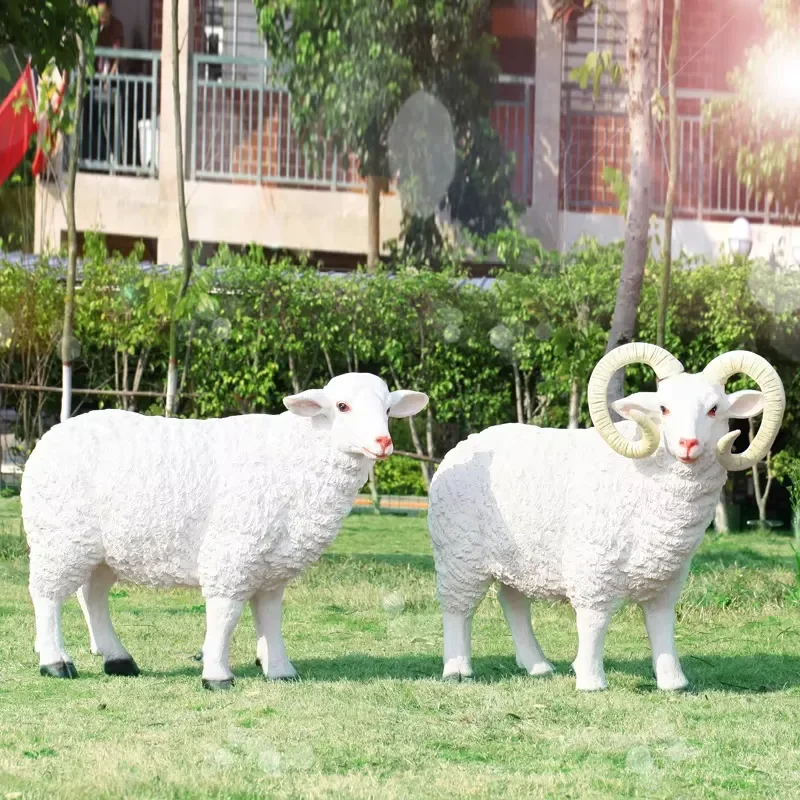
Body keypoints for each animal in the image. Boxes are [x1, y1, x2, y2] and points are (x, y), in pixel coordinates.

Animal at [21, 372, 428, 689]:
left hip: (103, 547)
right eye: (342, 406)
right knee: (46, 594)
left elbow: (270, 617)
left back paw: (118, 659)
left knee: (92, 596)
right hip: (58, 535)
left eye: (388, 410)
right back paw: (56, 662)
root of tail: (51, 435)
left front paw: (281, 670)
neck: (297, 458)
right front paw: (217, 675)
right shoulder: (234, 549)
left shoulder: (271, 563)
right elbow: (225, 614)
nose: (383, 443)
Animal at [427, 344, 785, 691]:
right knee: (456, 608)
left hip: (518, 558)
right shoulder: (593, 568)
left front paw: (673, 682)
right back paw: (457, 669)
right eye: (663, 408)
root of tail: (465, 445)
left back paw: (537, 665)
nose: (688, 444)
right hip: (460, 554)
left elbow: (662, 623)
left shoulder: (667, 577)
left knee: (513, 603)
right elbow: (594, 621)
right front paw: (590, 680)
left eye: (714, 409)